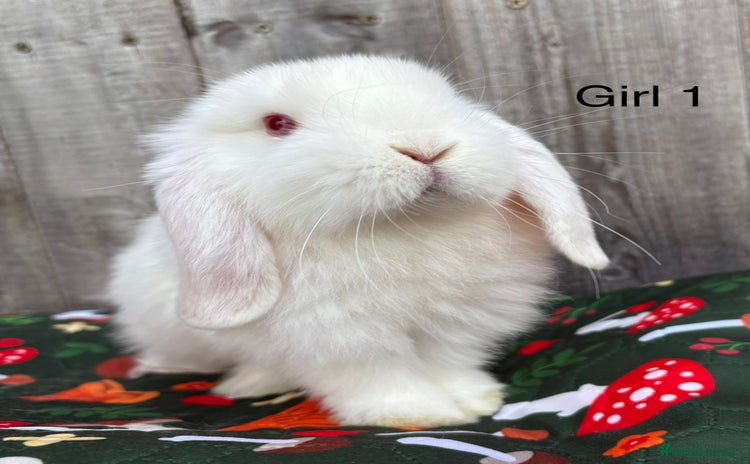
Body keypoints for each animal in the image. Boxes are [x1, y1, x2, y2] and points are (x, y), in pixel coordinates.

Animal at [108, 55, 609, 428]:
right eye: (277, 124)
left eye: (449, 99)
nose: (425, 146)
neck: (403, 230)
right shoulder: (340, 340)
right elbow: (379, 379)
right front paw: (419, 415)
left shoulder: (458, 323)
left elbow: (448, 362)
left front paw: (473, 400)